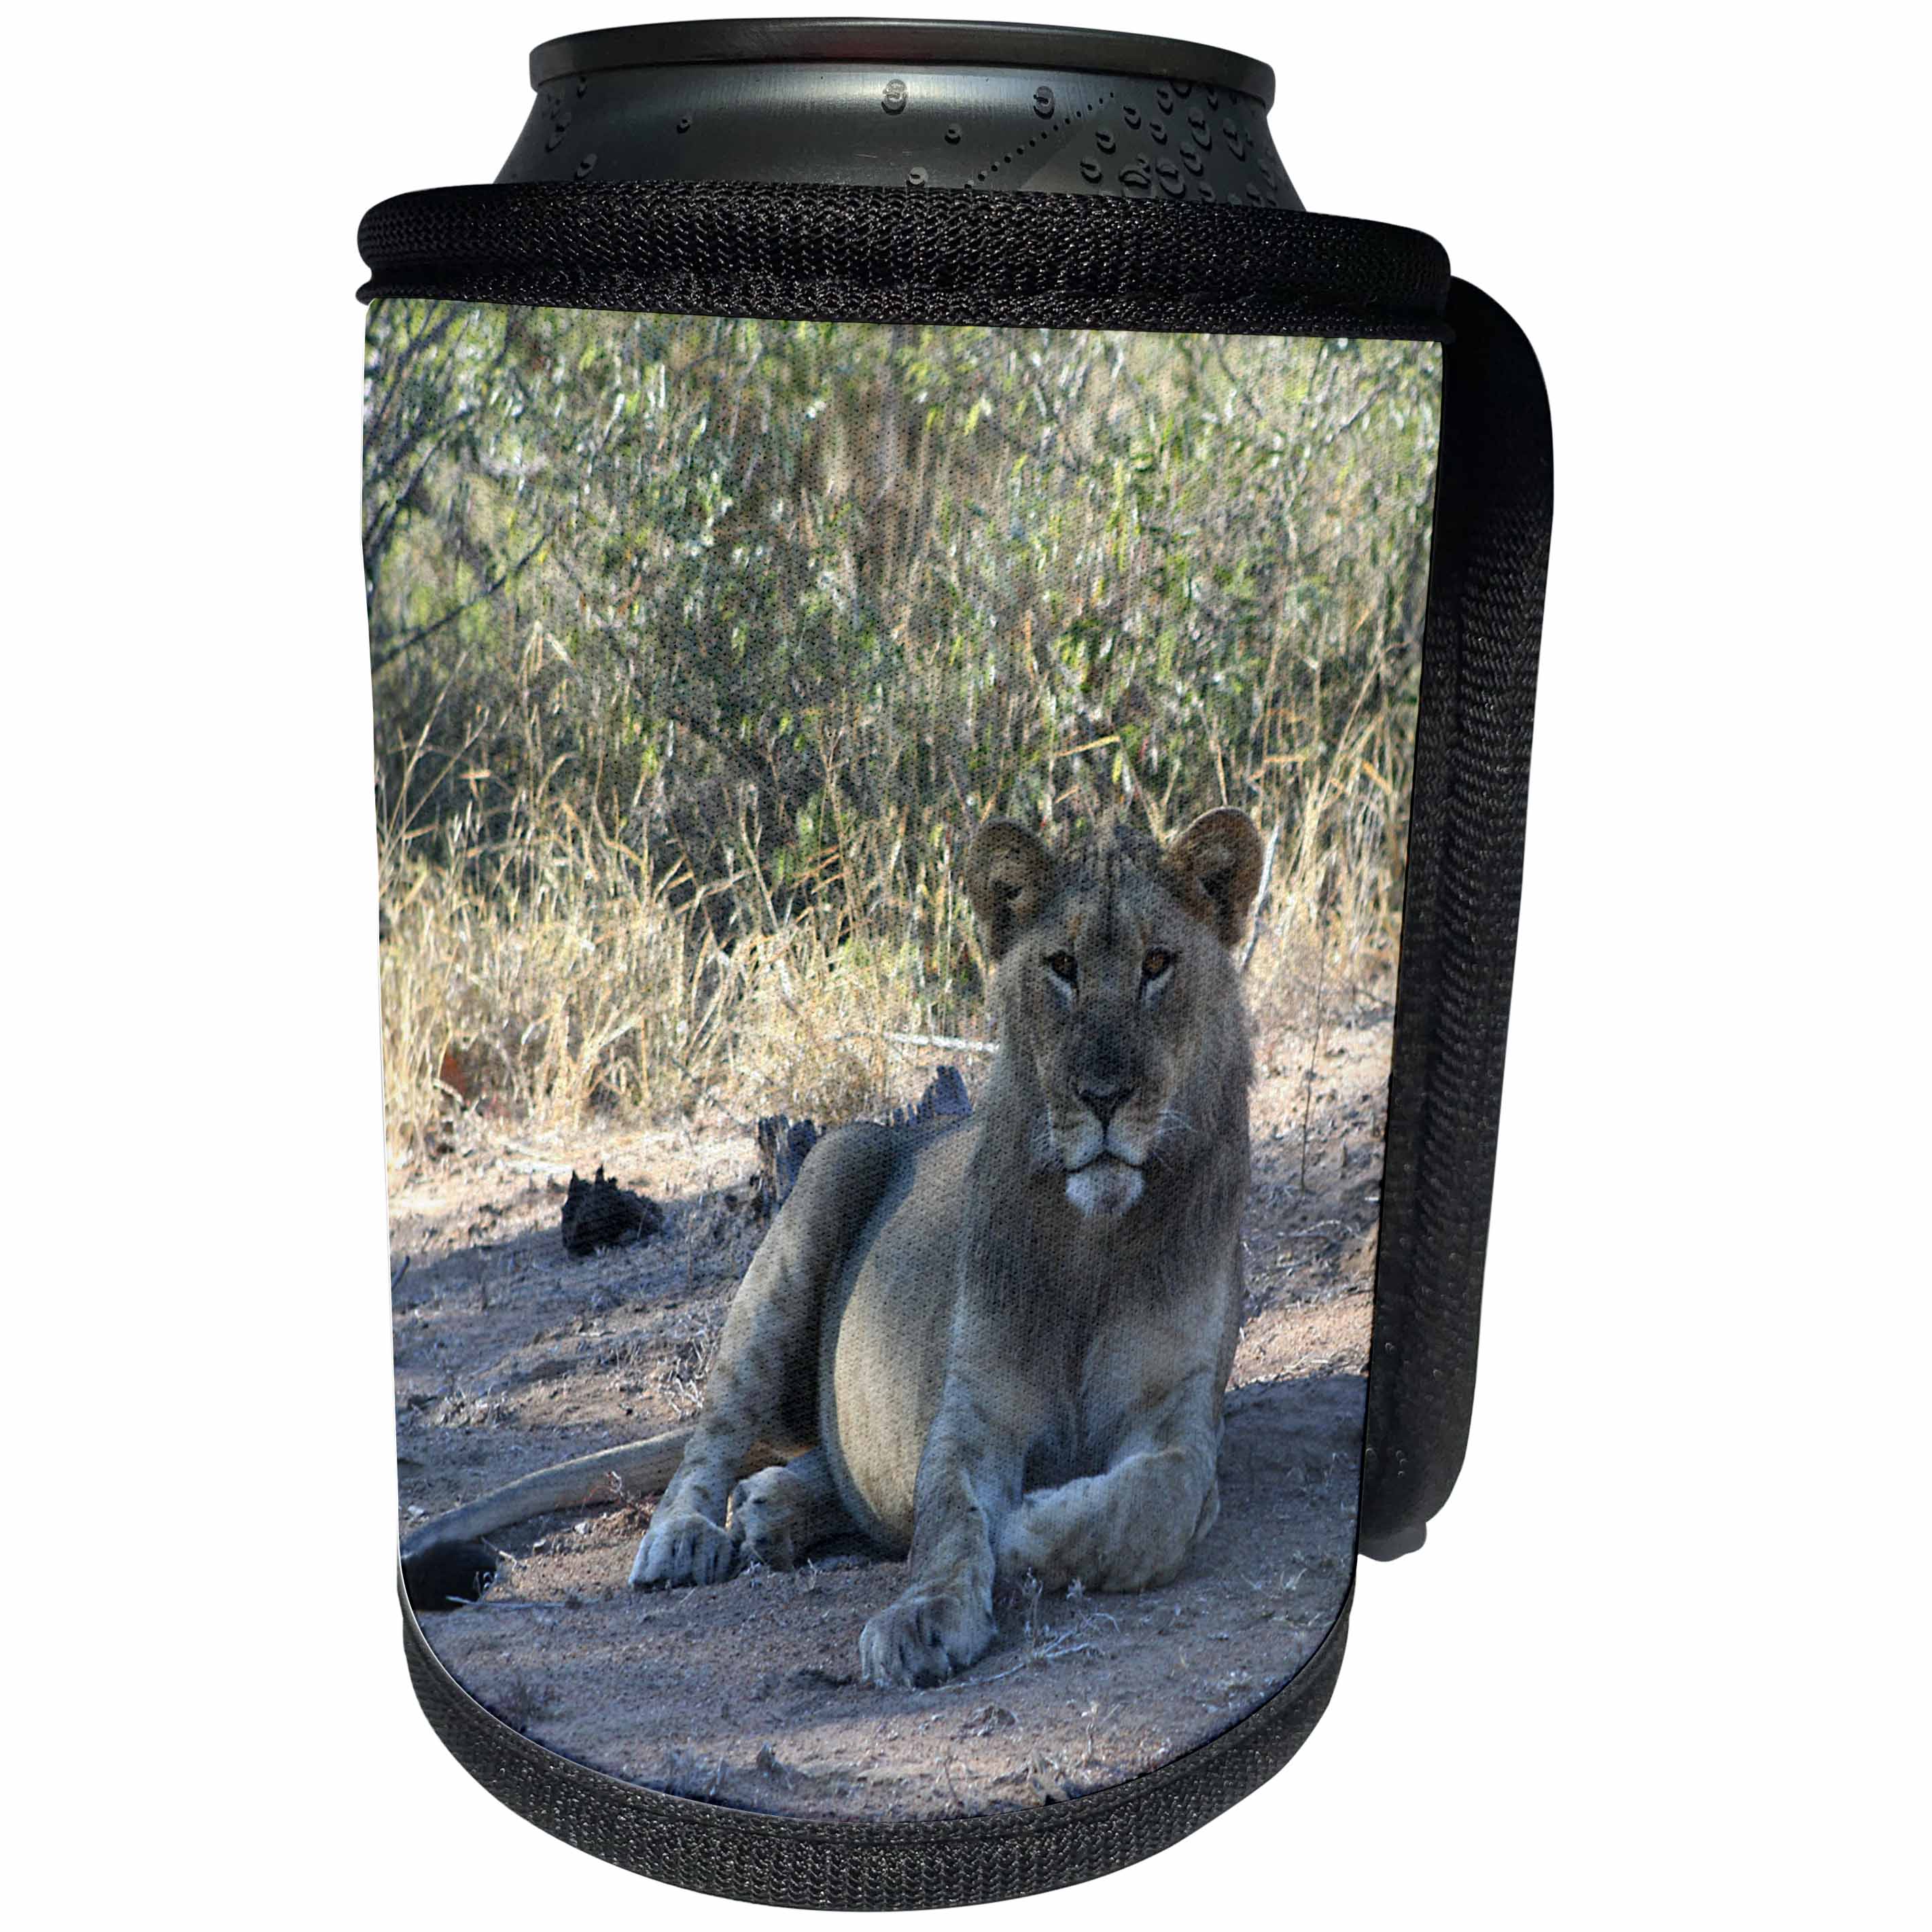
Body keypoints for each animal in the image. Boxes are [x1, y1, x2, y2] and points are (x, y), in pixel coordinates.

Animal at [402, 808, 1263, 1688]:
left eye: (1157, 963)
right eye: (1061, 966)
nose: (1102, 1096)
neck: (1095, 1239)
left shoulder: (1183, 1411)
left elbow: (1157, 1503)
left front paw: (1024, 1525)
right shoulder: (972, 1407)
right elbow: (947, 1518)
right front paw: (924, 1614)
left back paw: (773, 1508)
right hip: (819, 1191)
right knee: (714, 1435)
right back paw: (686, 1536)